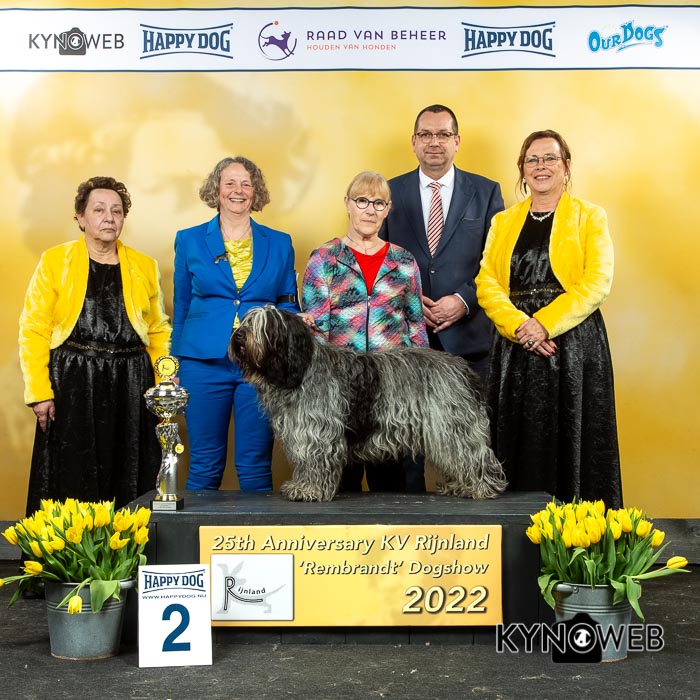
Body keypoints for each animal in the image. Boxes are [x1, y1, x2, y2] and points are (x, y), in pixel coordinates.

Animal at [229, 306, 507, 502]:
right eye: (246, 321)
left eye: (264, 326)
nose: (238, 335)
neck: (301, 369)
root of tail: (461, 368)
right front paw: (301, 486)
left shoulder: (317, 434)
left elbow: (314, 462)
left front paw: (309, 489)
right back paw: (461, 485)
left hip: (453, 425)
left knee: (474, 455)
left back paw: (482, 486)